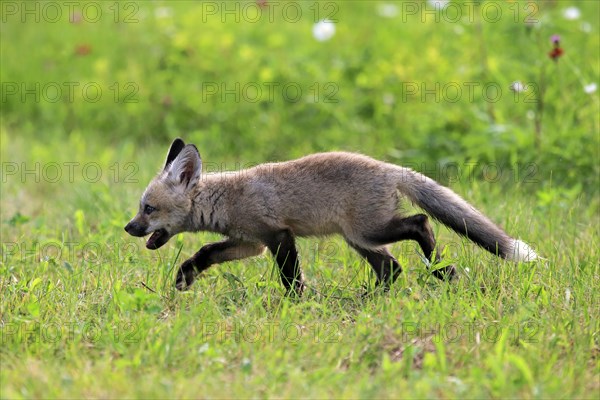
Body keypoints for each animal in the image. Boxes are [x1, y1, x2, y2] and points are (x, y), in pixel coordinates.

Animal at [124, 139, 536, 296]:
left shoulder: (278, 236)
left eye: (148, 209)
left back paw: (441, 271)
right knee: (393, 268)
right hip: (361, 240)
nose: (128, 228)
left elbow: (291, 277)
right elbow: (206, 251)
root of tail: (391, 168)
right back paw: (370, 298)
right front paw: (185, 277)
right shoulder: (251, 243)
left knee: (420, 223)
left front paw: (295, 303)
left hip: (369, 230)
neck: (228, 198)